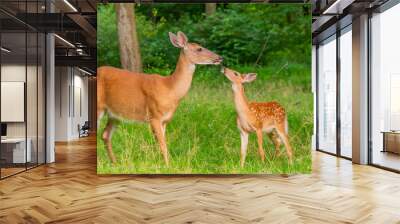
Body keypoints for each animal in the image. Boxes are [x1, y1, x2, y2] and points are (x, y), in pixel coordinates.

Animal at [97, 31, 222, 164]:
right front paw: (168, 165)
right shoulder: (154, 116)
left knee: (105, 135)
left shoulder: (164, 120)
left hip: (114, 114)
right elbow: (162, 144)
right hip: (99, 106)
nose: (220, 58)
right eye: (199, 49)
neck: (170, 88)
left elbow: (162, 143)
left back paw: (115, 162)